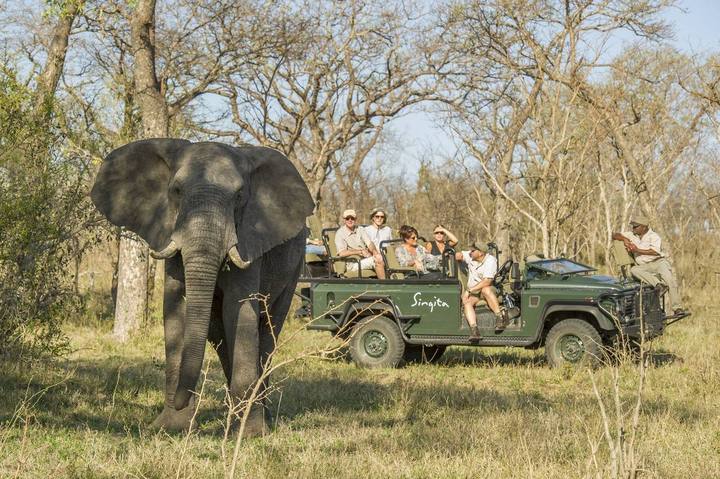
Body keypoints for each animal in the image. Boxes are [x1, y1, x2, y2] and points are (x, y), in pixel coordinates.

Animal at [91, 138, 314, 434]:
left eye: (239, 196)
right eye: (176, 190)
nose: (180, 402)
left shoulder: (250, 240)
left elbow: (239, 310)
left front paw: (250, 434)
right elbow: (178, 306)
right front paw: (171, 428)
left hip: (294, 267)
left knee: (268, 329)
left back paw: (260, 416)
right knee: (219, 334)